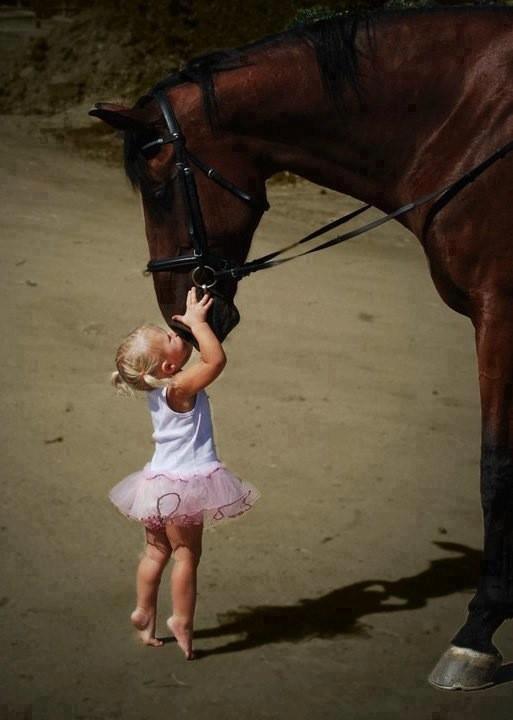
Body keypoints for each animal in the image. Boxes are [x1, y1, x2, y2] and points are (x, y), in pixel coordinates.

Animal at [90, 5, 512, 692]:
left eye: (157, 187)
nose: (178, 317)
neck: (471, 123)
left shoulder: (499, 309)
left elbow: (495, 466)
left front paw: (477, 634)